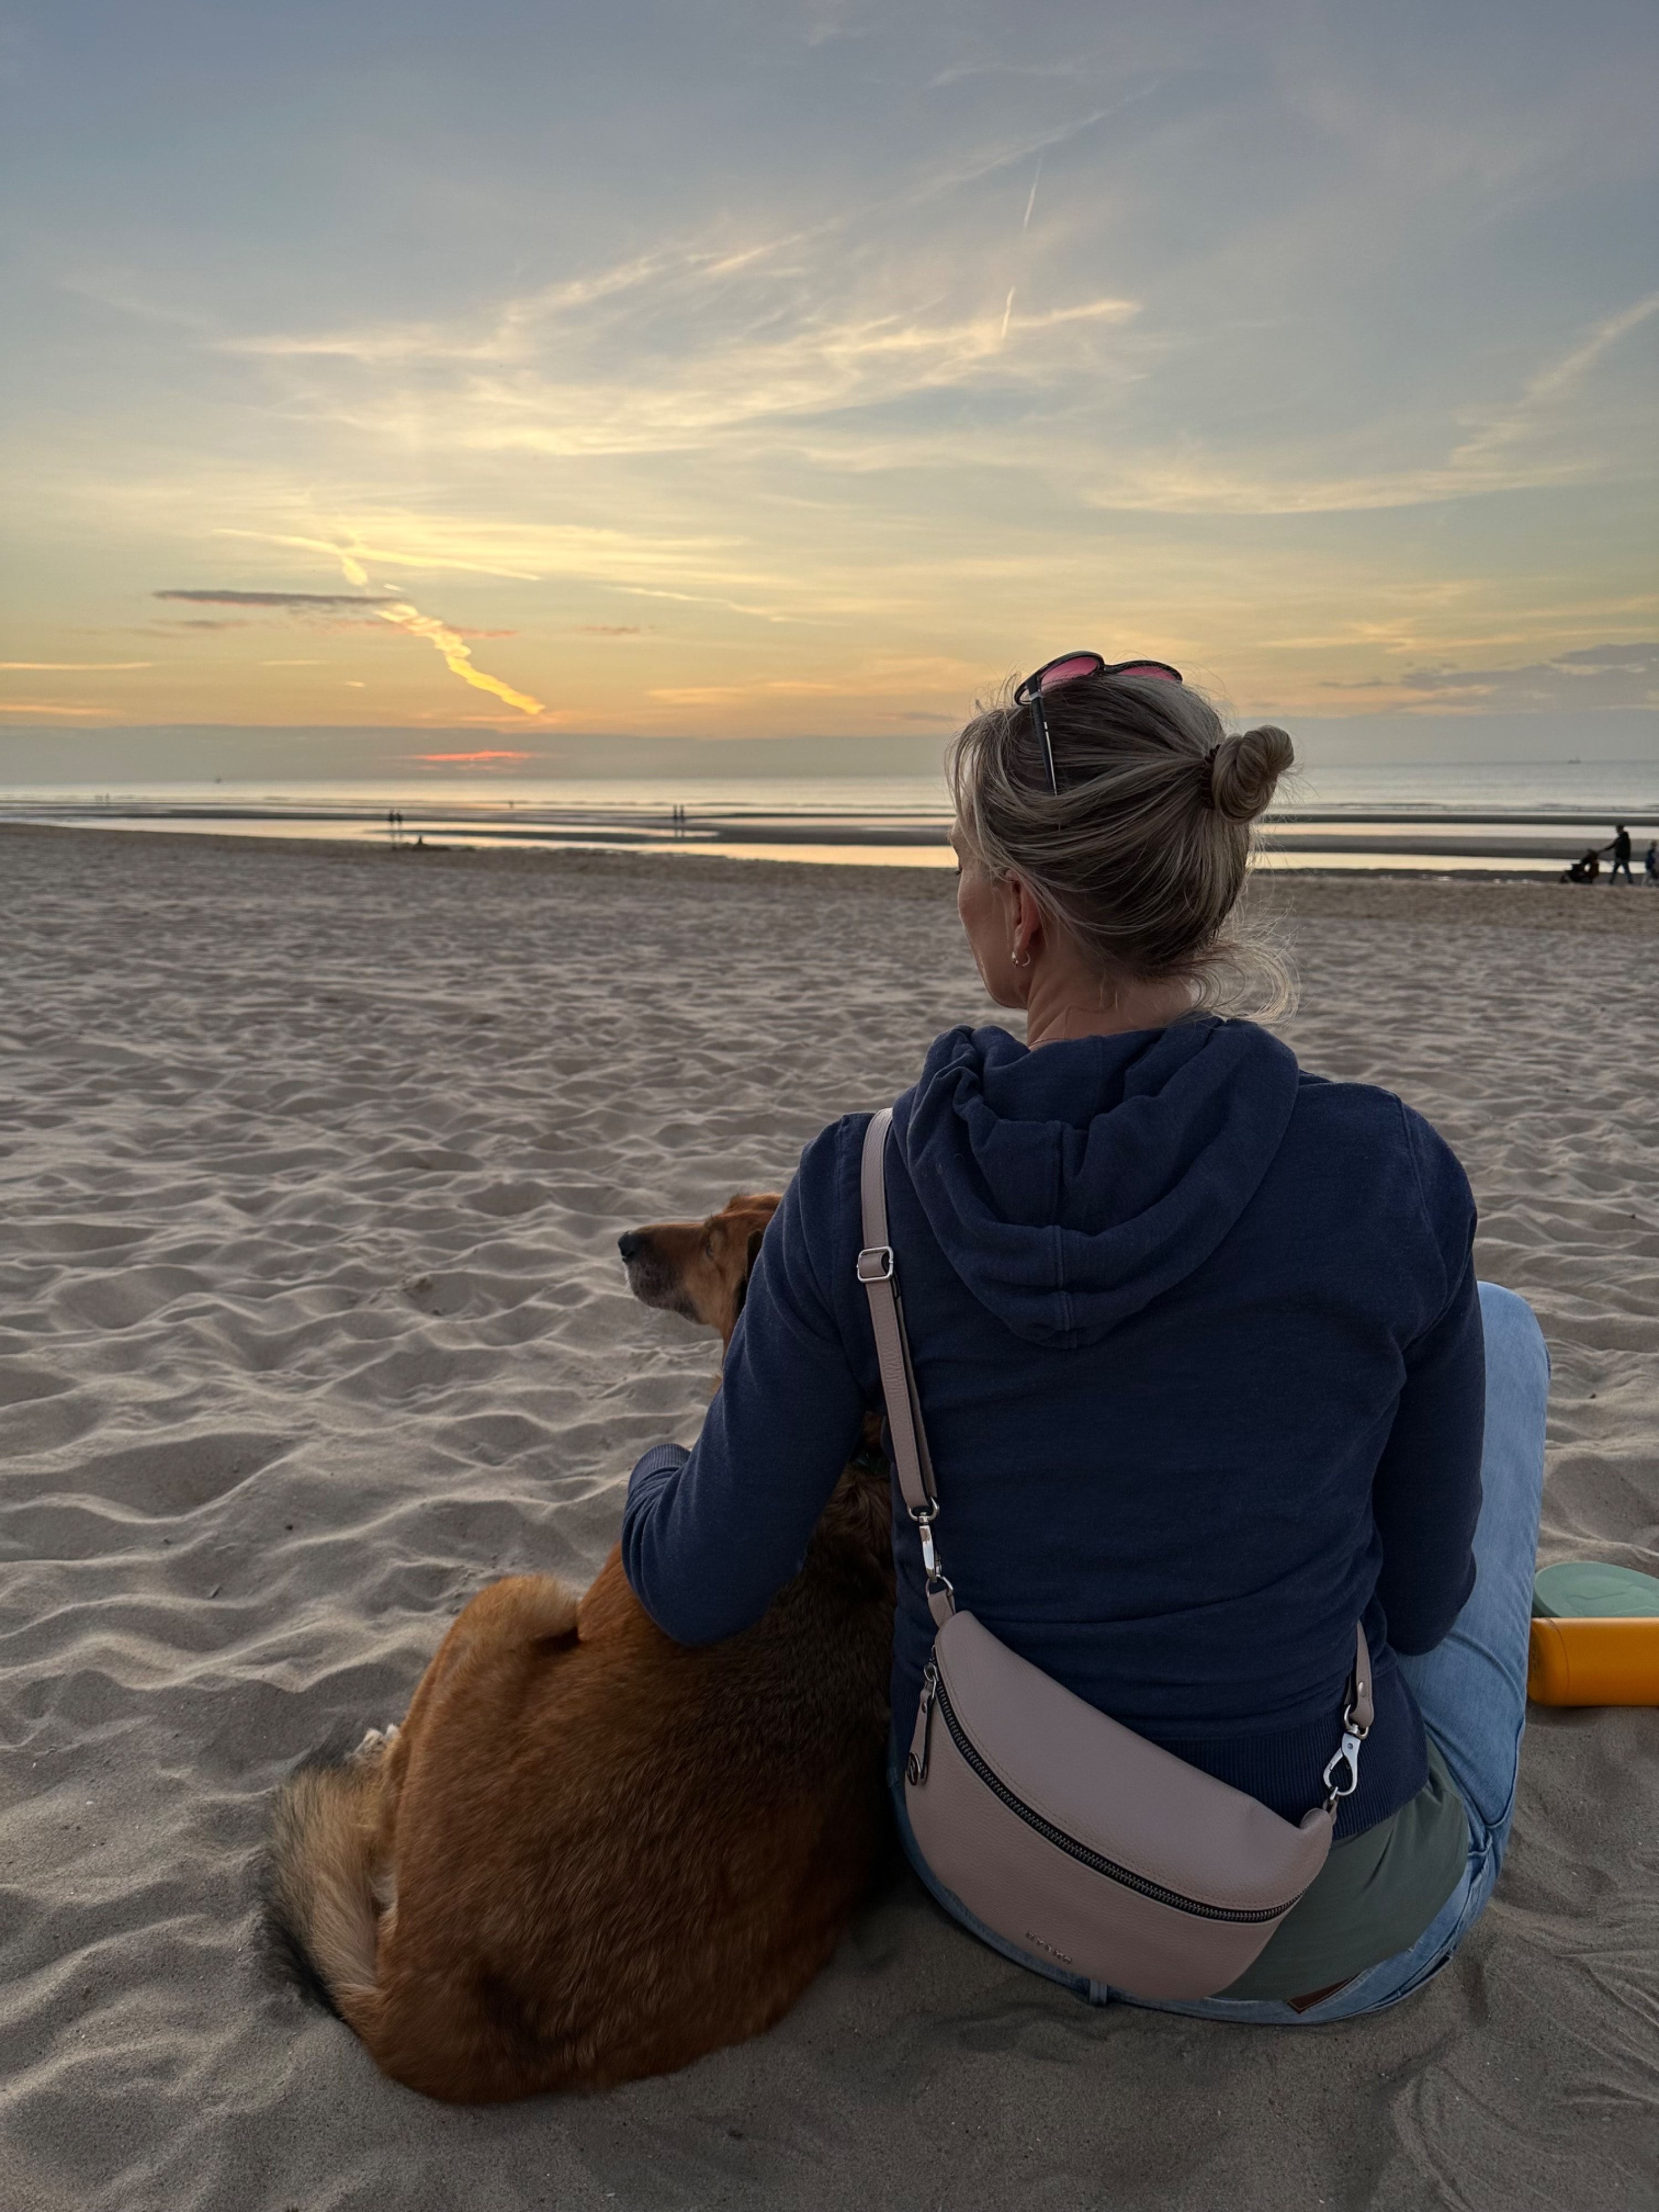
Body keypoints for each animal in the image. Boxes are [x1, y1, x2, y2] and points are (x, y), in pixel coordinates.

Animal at [263, 1194, 894, 2102]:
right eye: (717, 1215)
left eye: (714, 1242)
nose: (624, 1240)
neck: (862, 1457)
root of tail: (423, 2021)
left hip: (517, 1595)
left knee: (384, 1807)